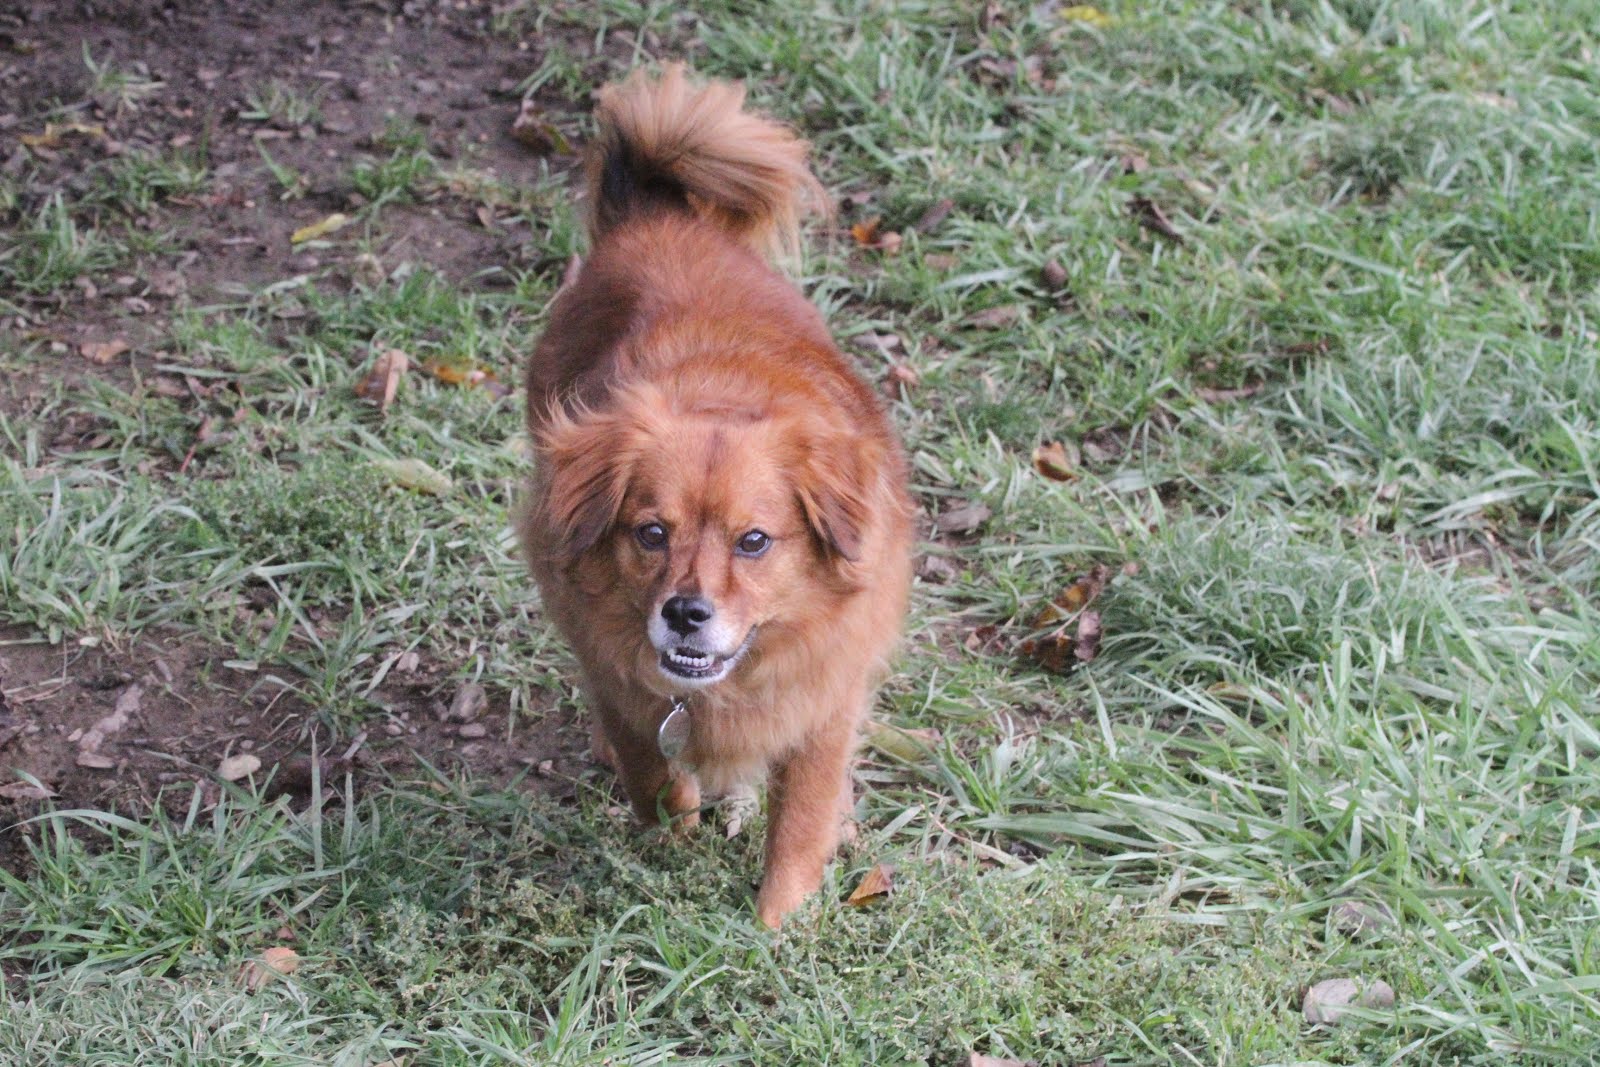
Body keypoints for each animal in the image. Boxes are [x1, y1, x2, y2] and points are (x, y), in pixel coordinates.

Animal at [517, 64, 913, 928]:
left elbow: (799, 822)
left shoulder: (823, 711)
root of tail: (657, 215)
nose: (685, 612)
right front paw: (672, 862)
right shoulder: (631, 701)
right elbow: (657, 788)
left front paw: (777, 928)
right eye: (650, 533)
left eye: (754, 540)